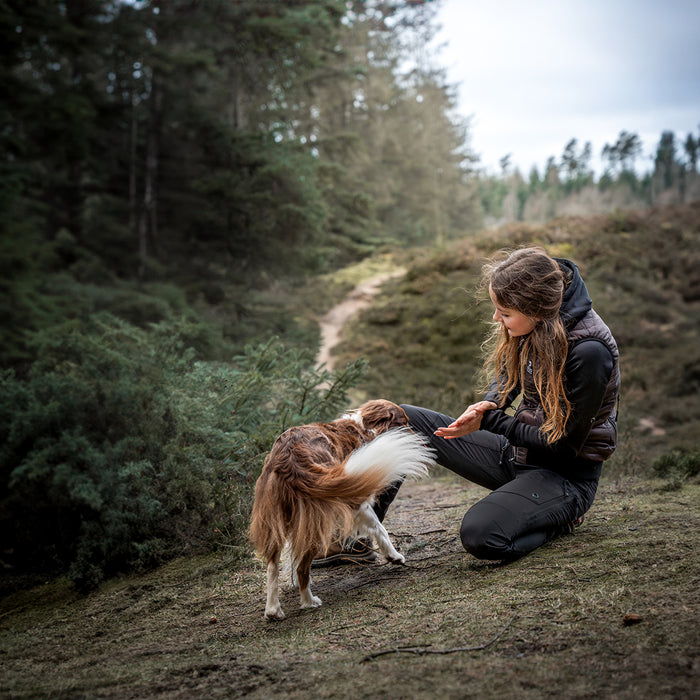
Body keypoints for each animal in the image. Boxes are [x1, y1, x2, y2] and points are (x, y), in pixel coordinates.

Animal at [246, 400, 432, 616]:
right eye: (405, 422)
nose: (424, 442)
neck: (365, 427)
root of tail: (291, 457)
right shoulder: (356, 498)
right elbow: (380, 529)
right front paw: (394, 556)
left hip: (278, 517)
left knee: (272, 565)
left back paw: (273, 610)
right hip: (318, 519)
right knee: (302, 567)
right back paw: (309, 601)